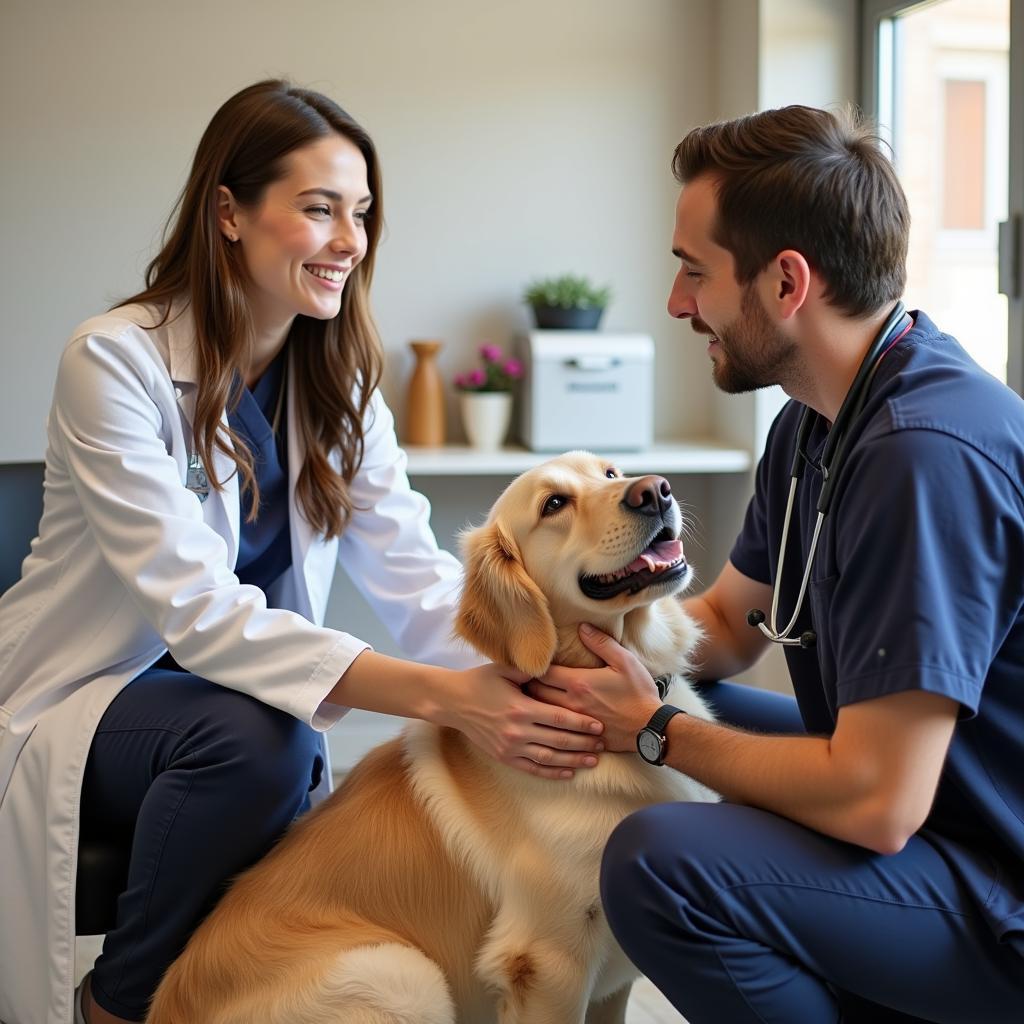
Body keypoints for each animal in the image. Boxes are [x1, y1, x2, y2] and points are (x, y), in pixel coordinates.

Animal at [146, 452, 720, 1019]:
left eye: (611, 473)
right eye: (554, 504)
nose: (655, 490)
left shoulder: (611, 981)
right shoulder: (546, 961)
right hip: (400, 972)